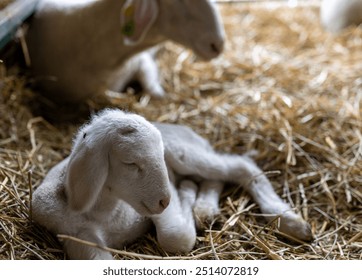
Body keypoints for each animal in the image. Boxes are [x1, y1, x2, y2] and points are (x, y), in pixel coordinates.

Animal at [32, 109, 312, 260]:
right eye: (130, 163)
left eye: (160, 156)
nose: (164, 200)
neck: (108, 212)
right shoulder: (77, 236)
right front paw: (189, 194)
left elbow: (175, 237)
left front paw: (184, 194)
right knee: (217, 177)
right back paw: (204, 209)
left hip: (185, 153)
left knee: (240, 166)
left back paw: (290, 221)